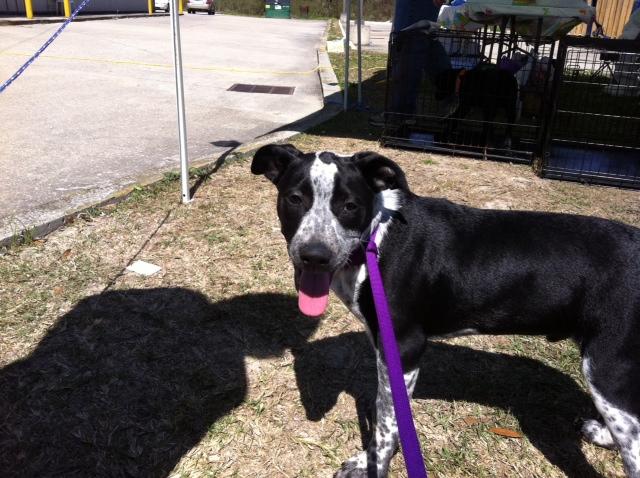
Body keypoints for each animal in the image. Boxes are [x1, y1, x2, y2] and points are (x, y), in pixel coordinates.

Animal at [250, 144, 640, 476]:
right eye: (294, 199)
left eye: (349, 205)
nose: (314, 256)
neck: (374, 238)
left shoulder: (404, 347)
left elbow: (387, 421)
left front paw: (370, 463)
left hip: (607, 366)